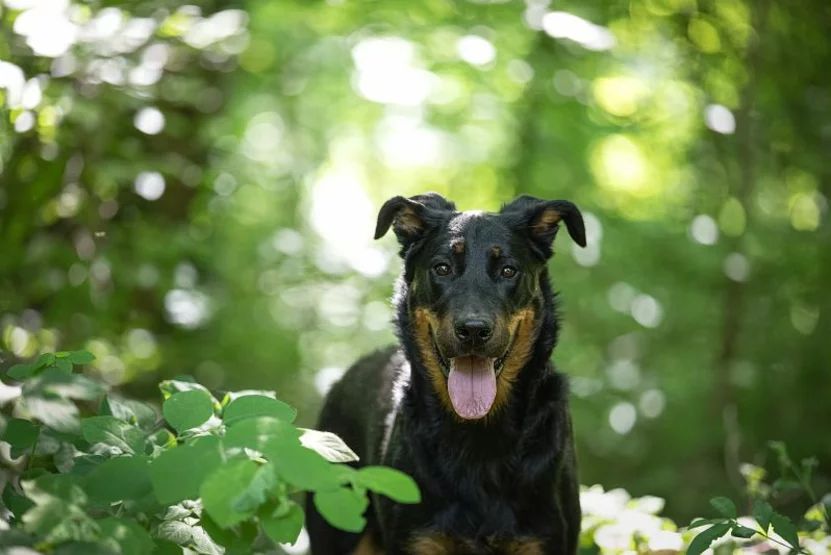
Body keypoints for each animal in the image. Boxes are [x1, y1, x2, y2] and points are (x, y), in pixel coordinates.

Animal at [308, 194, 588, 555]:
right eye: (442, 268)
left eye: (508, 270)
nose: (473, 330)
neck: (479, 439)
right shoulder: (419, 539)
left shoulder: (542, 540)